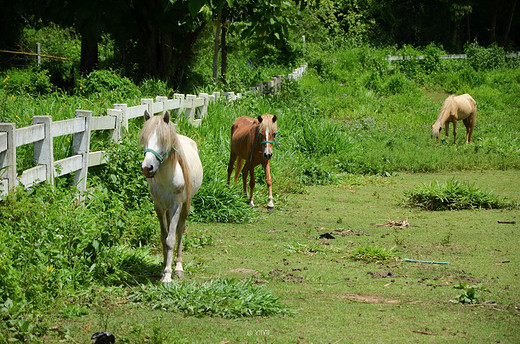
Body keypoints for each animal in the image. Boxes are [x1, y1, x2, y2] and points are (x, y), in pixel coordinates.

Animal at [138, 111, 203, 280]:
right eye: (145, 139)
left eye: (163, 141)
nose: (147, 168)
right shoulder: (159, 207)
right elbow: (163, 237)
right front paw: (163, 269)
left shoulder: (176, 205)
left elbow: (171, 239)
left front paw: (168, 274)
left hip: (186, 204)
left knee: (180, 230)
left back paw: (178, 266)